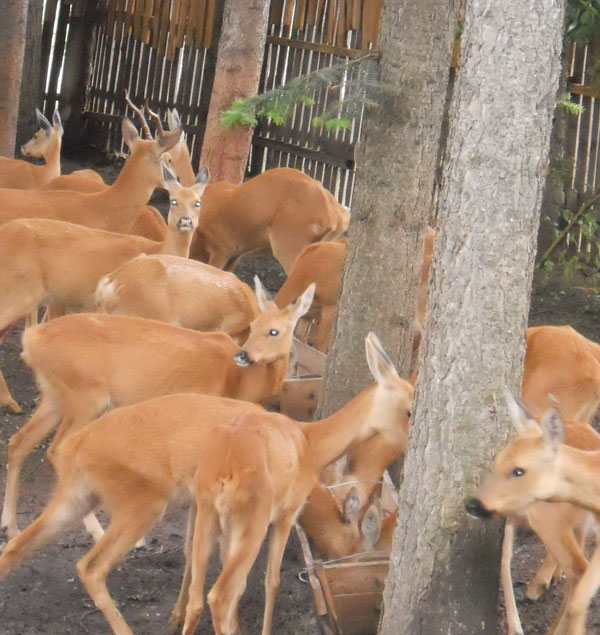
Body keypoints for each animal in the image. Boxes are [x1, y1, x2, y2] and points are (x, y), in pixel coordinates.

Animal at [0, 280, 316, 540]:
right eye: (253, 327)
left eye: (274, 330)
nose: (244, 355)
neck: (238, 381)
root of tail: (31, 340)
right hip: (84, 395)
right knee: (57, 449)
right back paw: (95, 529)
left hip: (54, 396)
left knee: (18, 442)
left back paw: (11, 525)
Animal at [468, 398, 600, 635]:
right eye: (496, 460)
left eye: (519, 470)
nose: (473, 504)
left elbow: (504, 558)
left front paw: (515, 627)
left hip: (549, 521)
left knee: (577, 570)